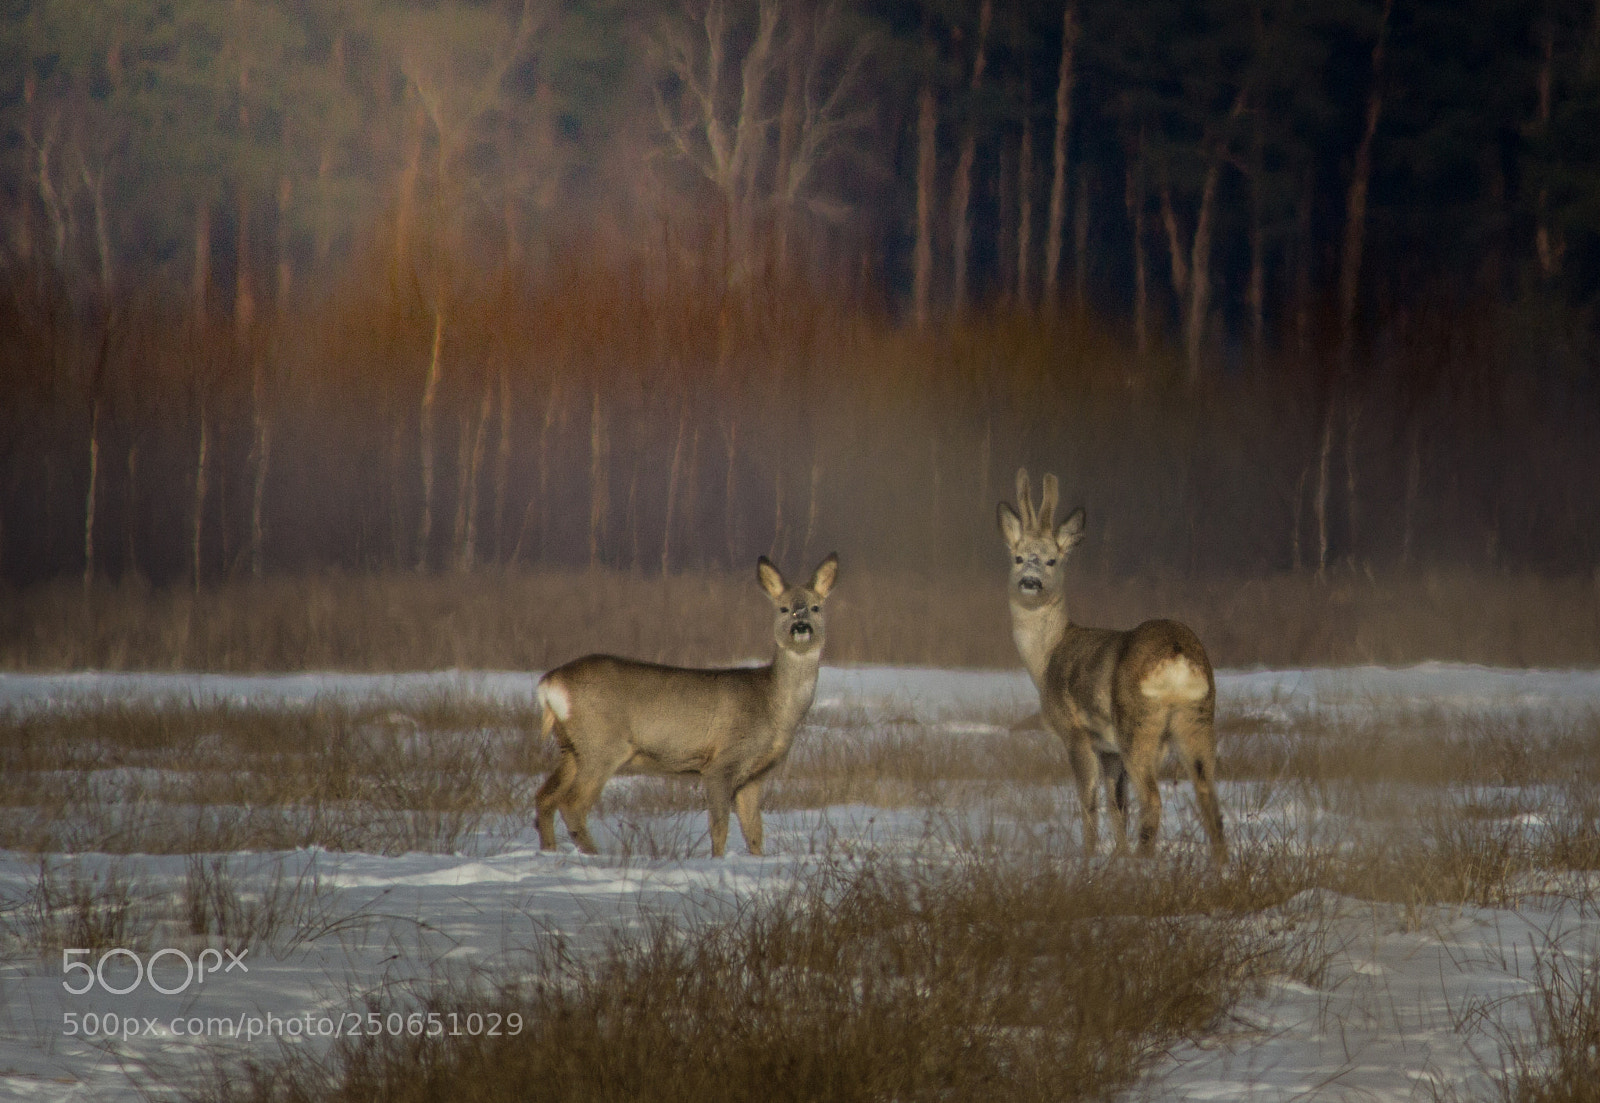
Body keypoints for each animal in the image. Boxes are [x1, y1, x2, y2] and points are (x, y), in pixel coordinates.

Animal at [534, 554, 839, 858]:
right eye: (784, 608)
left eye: (815, 607)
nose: (801, 627)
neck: (773, 704)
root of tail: (550, 682)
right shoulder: (720, 762)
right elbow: (719, 826)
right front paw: (717, 861)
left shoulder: (754, 775)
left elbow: (754, 832)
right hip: (602, 744)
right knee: (571, 803)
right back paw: (595, 854)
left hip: (571, 747)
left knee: (544, 797)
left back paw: (550, 851)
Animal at [997, 469, 1225, 861]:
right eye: (1018, 557)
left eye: (1052, 560)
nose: (1030, 581)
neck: (1046, 657)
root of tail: (1177, 657)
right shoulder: (1109, 749)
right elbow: (1117, 804)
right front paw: (1119, 857)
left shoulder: (1076, 732)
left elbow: (1089, 801)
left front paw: (1090, 857)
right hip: (1197, 719)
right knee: (1209, 799)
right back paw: (1220, 866)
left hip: (1138, 724)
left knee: (1152, 800)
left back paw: (1146, 862)